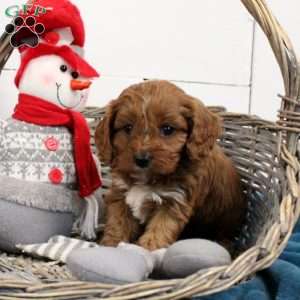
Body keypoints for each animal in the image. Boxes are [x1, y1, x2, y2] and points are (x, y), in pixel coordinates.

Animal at [96, 79, 246, 253]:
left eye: (167, 129)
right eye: (127, 128)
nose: (141, 159)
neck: (149, 178)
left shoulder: (174, 201)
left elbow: (159, 232)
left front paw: (148, 250)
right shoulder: (120, 196)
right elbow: (117, 224)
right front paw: (110, 245)